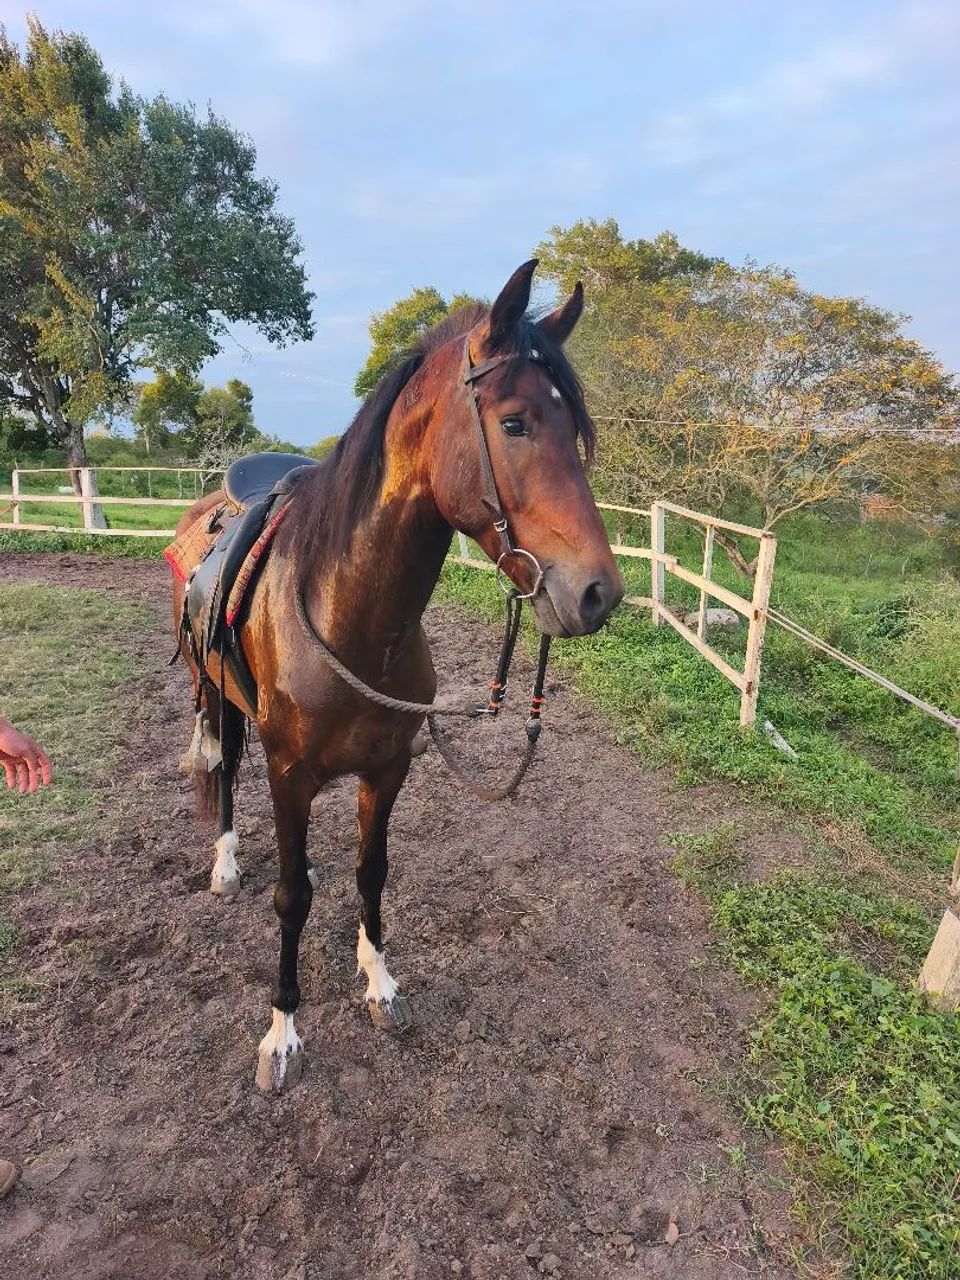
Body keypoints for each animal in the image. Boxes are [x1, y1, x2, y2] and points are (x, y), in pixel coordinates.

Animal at [169, 259, 624, 1090]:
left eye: (573, 431)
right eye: (515, 422)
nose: (598, 593)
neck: (349, 619)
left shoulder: (387, 771)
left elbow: (371, 874)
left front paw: (379, 981)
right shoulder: (290, 776)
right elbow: (291, 896)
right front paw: (282, 1030)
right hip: (217, 696)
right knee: (222, 770)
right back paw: (224, 864)